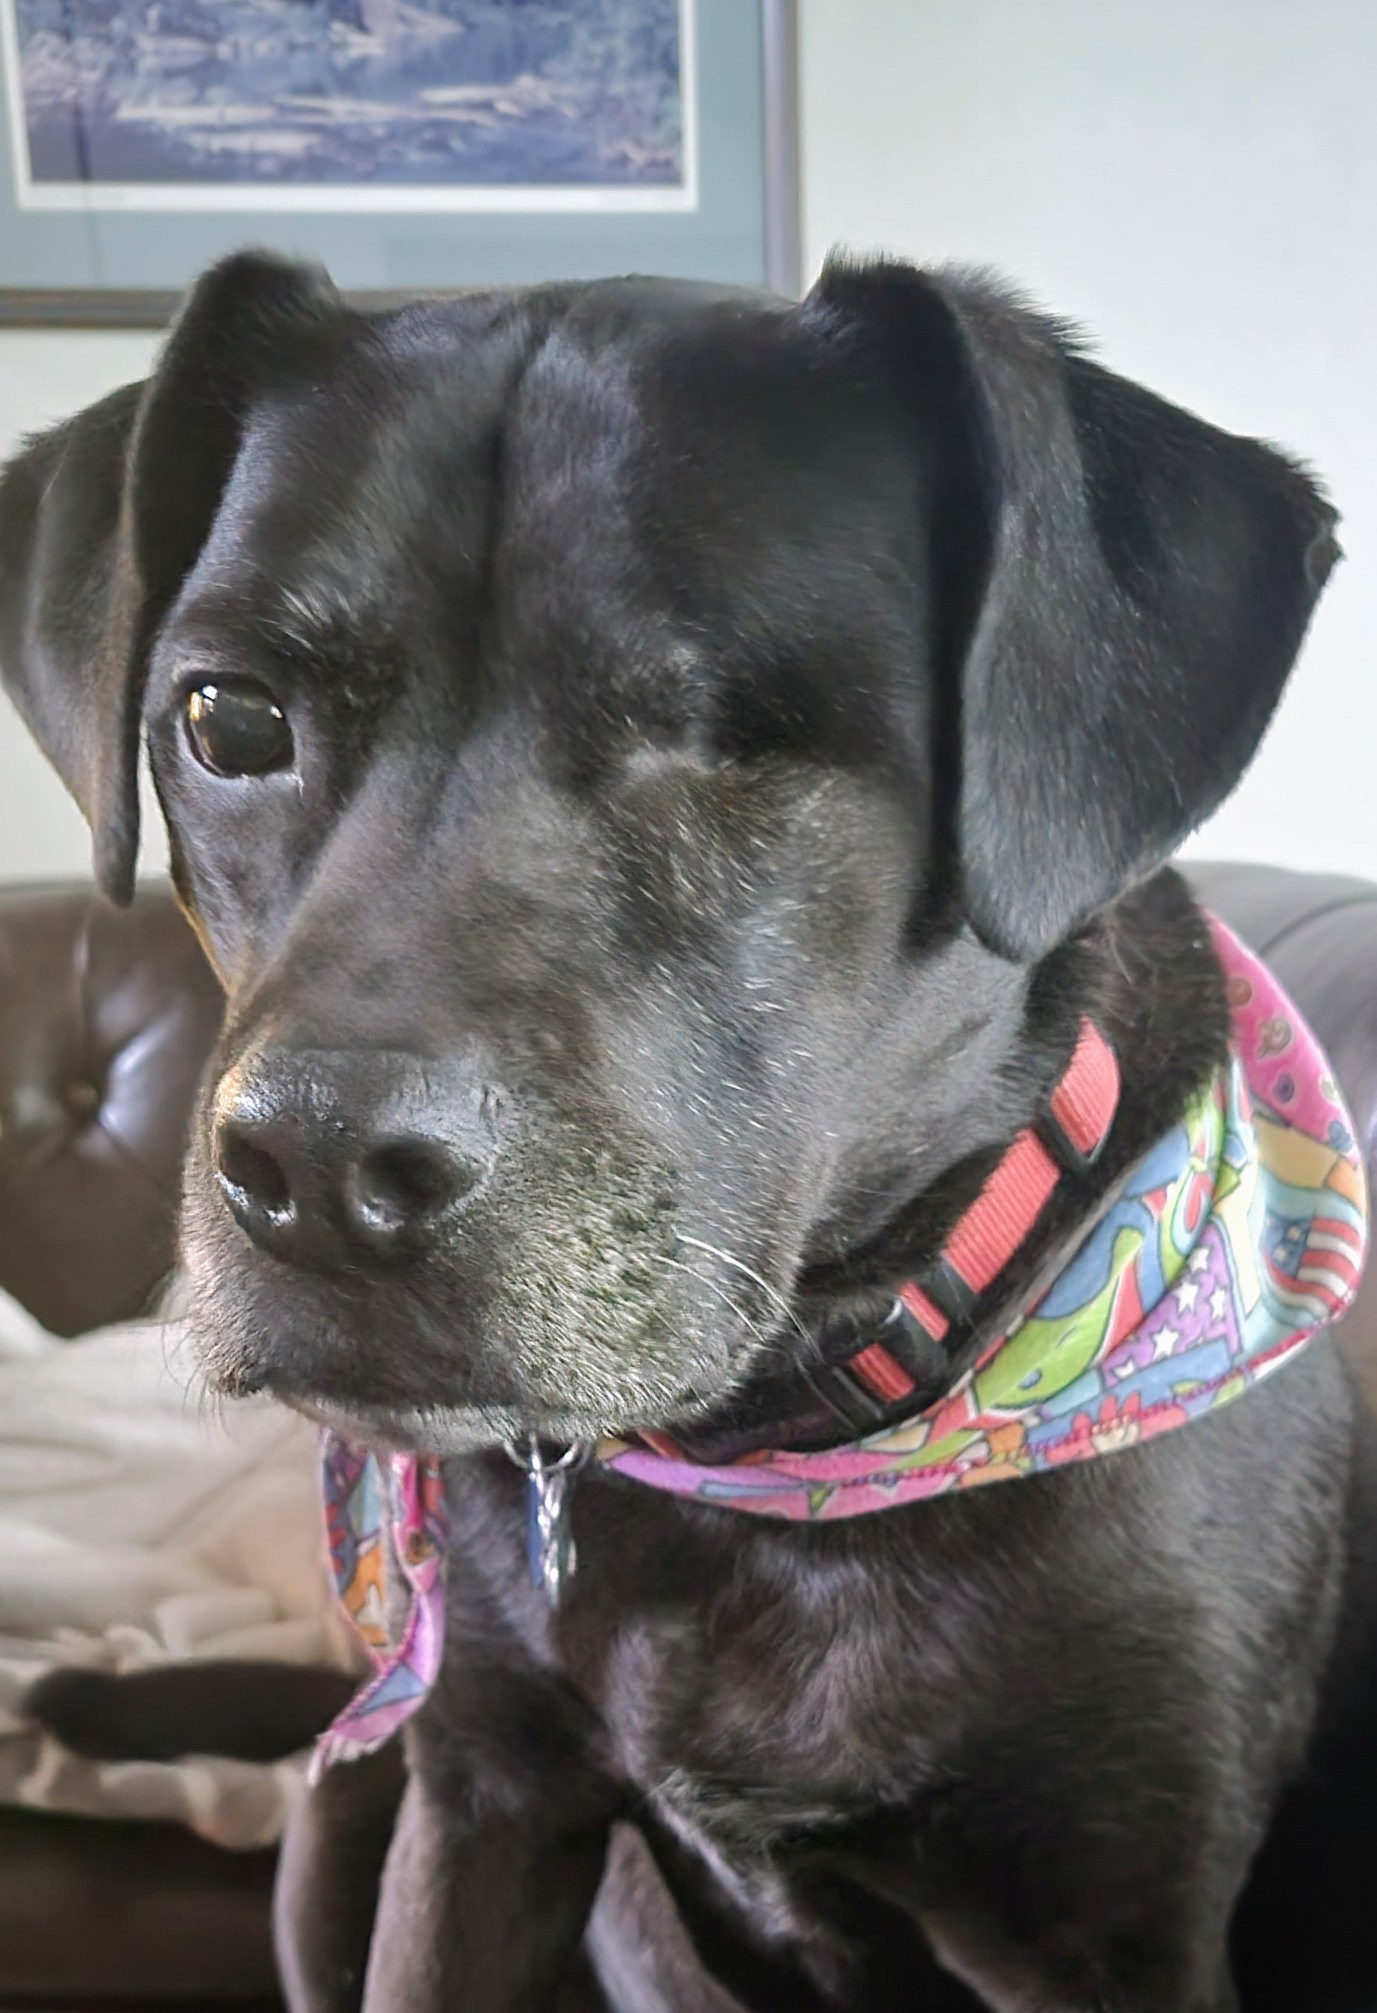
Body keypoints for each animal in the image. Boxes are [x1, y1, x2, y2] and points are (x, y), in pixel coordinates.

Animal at [5, 251, 1368, 2013]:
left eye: (730, 736)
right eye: (229, 718)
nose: (311, 1174)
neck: (773, 1457)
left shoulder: (1108, 1942)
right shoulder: (480, 1801)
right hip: (341, 1822)